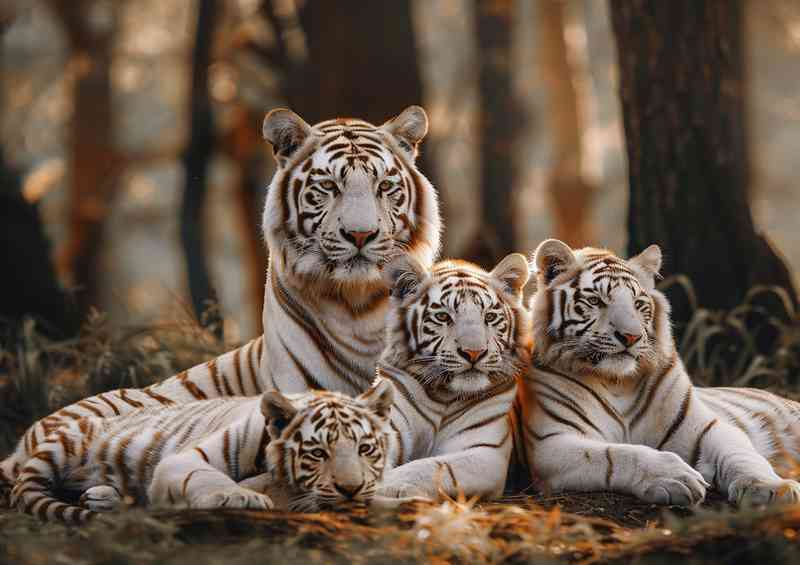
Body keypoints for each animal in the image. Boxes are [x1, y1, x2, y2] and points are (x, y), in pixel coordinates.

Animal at [11, 379, 400, 524]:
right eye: (318, 454)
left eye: (365, 449)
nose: (350, 489)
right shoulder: (182, 460)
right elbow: (206, 477)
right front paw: (242, 496)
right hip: (66, 443)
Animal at [373, 252, 533, 500]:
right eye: (442, 316)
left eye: (489, 317)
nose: (474, 352)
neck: (444, 395)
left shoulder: (484, 452)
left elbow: (434, 466)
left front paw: (389, 486)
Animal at [519, 238, 800, 506]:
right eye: (595, 301)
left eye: (638, 304)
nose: (631, 336)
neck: (616, 381)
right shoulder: (551, 443)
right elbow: (618, 454)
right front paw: (676, 477)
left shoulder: (707, 427)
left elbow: (743, 455)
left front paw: (773, 487)